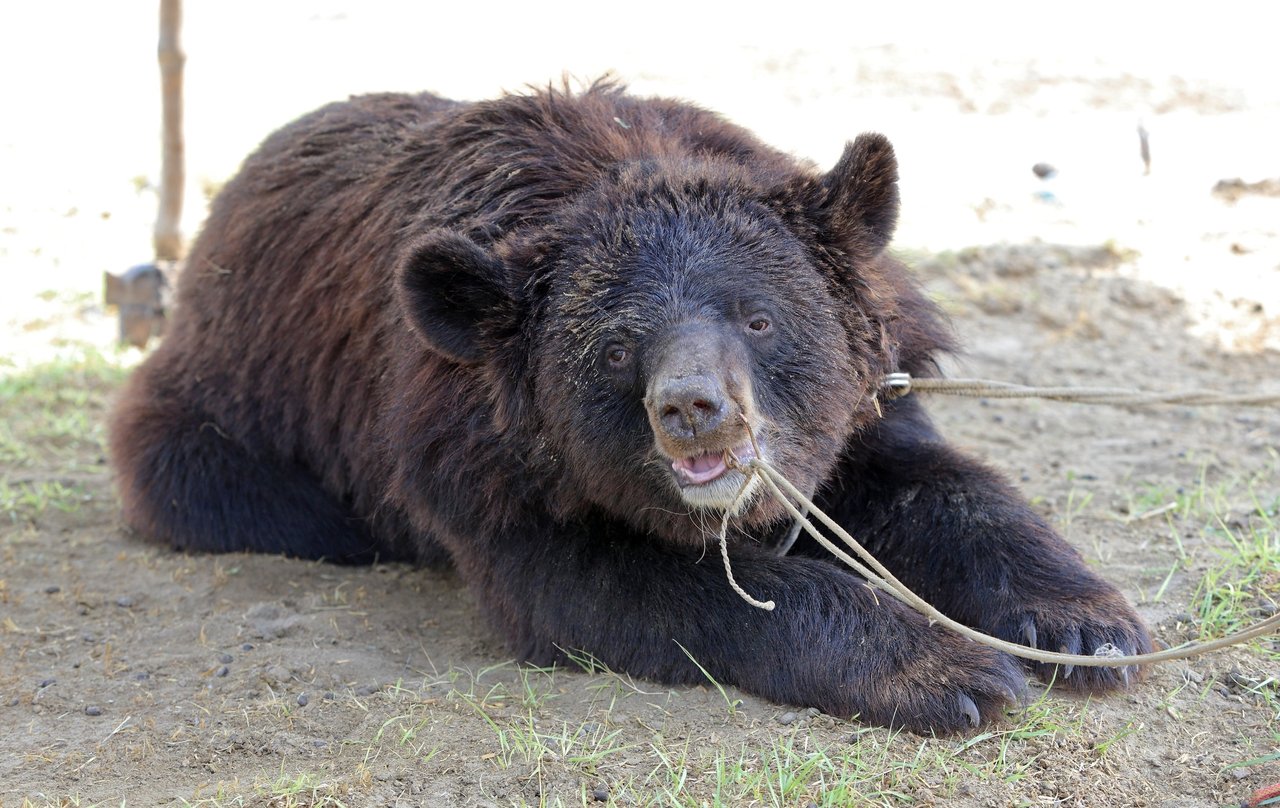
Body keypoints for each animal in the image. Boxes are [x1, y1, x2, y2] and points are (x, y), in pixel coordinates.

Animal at [107, 80, 1152, 732]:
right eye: (615, 350)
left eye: (759, 318)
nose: (693, 410)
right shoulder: (474, 454)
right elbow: (619, 584)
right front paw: (949, 670)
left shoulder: (869, 396)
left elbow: (940, 484)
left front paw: (1085, 626)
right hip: (228, 409)